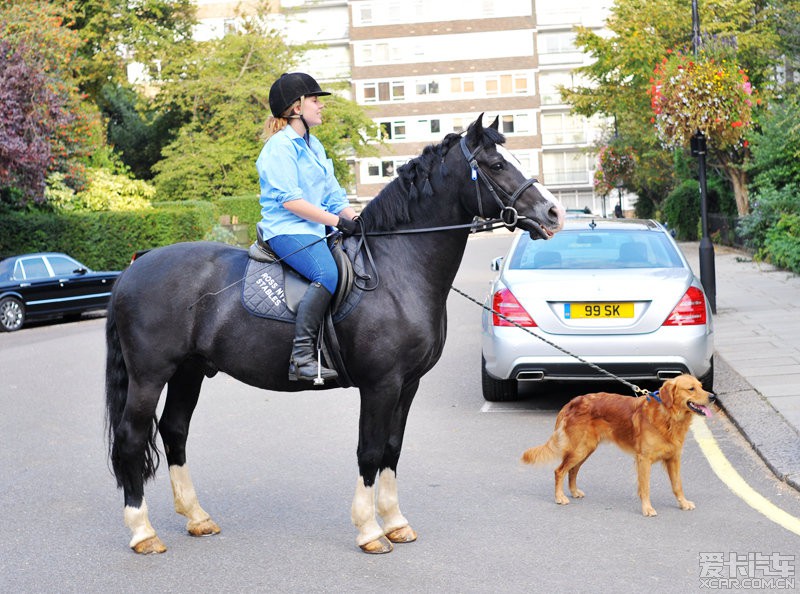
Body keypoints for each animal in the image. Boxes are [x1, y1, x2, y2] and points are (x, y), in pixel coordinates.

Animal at [106, 114, 564, 552]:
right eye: (496, 165)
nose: (554, 214)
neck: (398, 268)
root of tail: (134, 267)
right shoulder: (381, 384)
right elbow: (369, 450)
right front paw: (370, 531)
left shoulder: (408, 384)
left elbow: (392, 449)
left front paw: (395, 523)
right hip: (151, 375)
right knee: (132, 438)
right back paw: (143, 532)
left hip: (190, 371)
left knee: (174, 431)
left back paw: (197, 517)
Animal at [520, 374, 716, 512]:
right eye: (691, 389)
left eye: (701, 386)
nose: (713, 397)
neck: (668, 416)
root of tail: (573, 401)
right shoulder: (644, 459)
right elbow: (645, 487)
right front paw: (647, 508)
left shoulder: (674, 458)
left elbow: (677, 485)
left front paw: (683, 503)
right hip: (579, 449)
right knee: (559, 471)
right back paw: (560, 497)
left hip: (586, 449)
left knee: (572, 471)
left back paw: (574, 492)